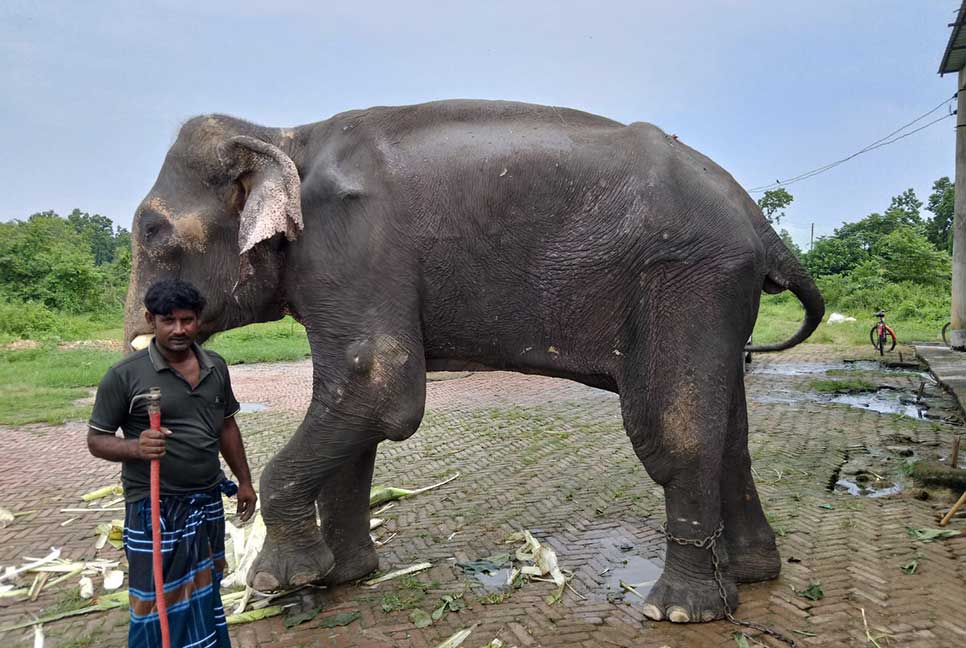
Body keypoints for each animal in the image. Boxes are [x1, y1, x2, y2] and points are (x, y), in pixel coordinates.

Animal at [125, 100, 824, 624]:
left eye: (154, 233)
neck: (284, 134)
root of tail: (760, 224)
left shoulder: (352, 246)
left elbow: (381, 389)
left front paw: (277, 582)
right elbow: (356, 405)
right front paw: (344, 577)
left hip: (687, 280)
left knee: (673, 433)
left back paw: (679, 611)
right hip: (720, 294)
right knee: (729, 431)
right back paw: (750, 577)